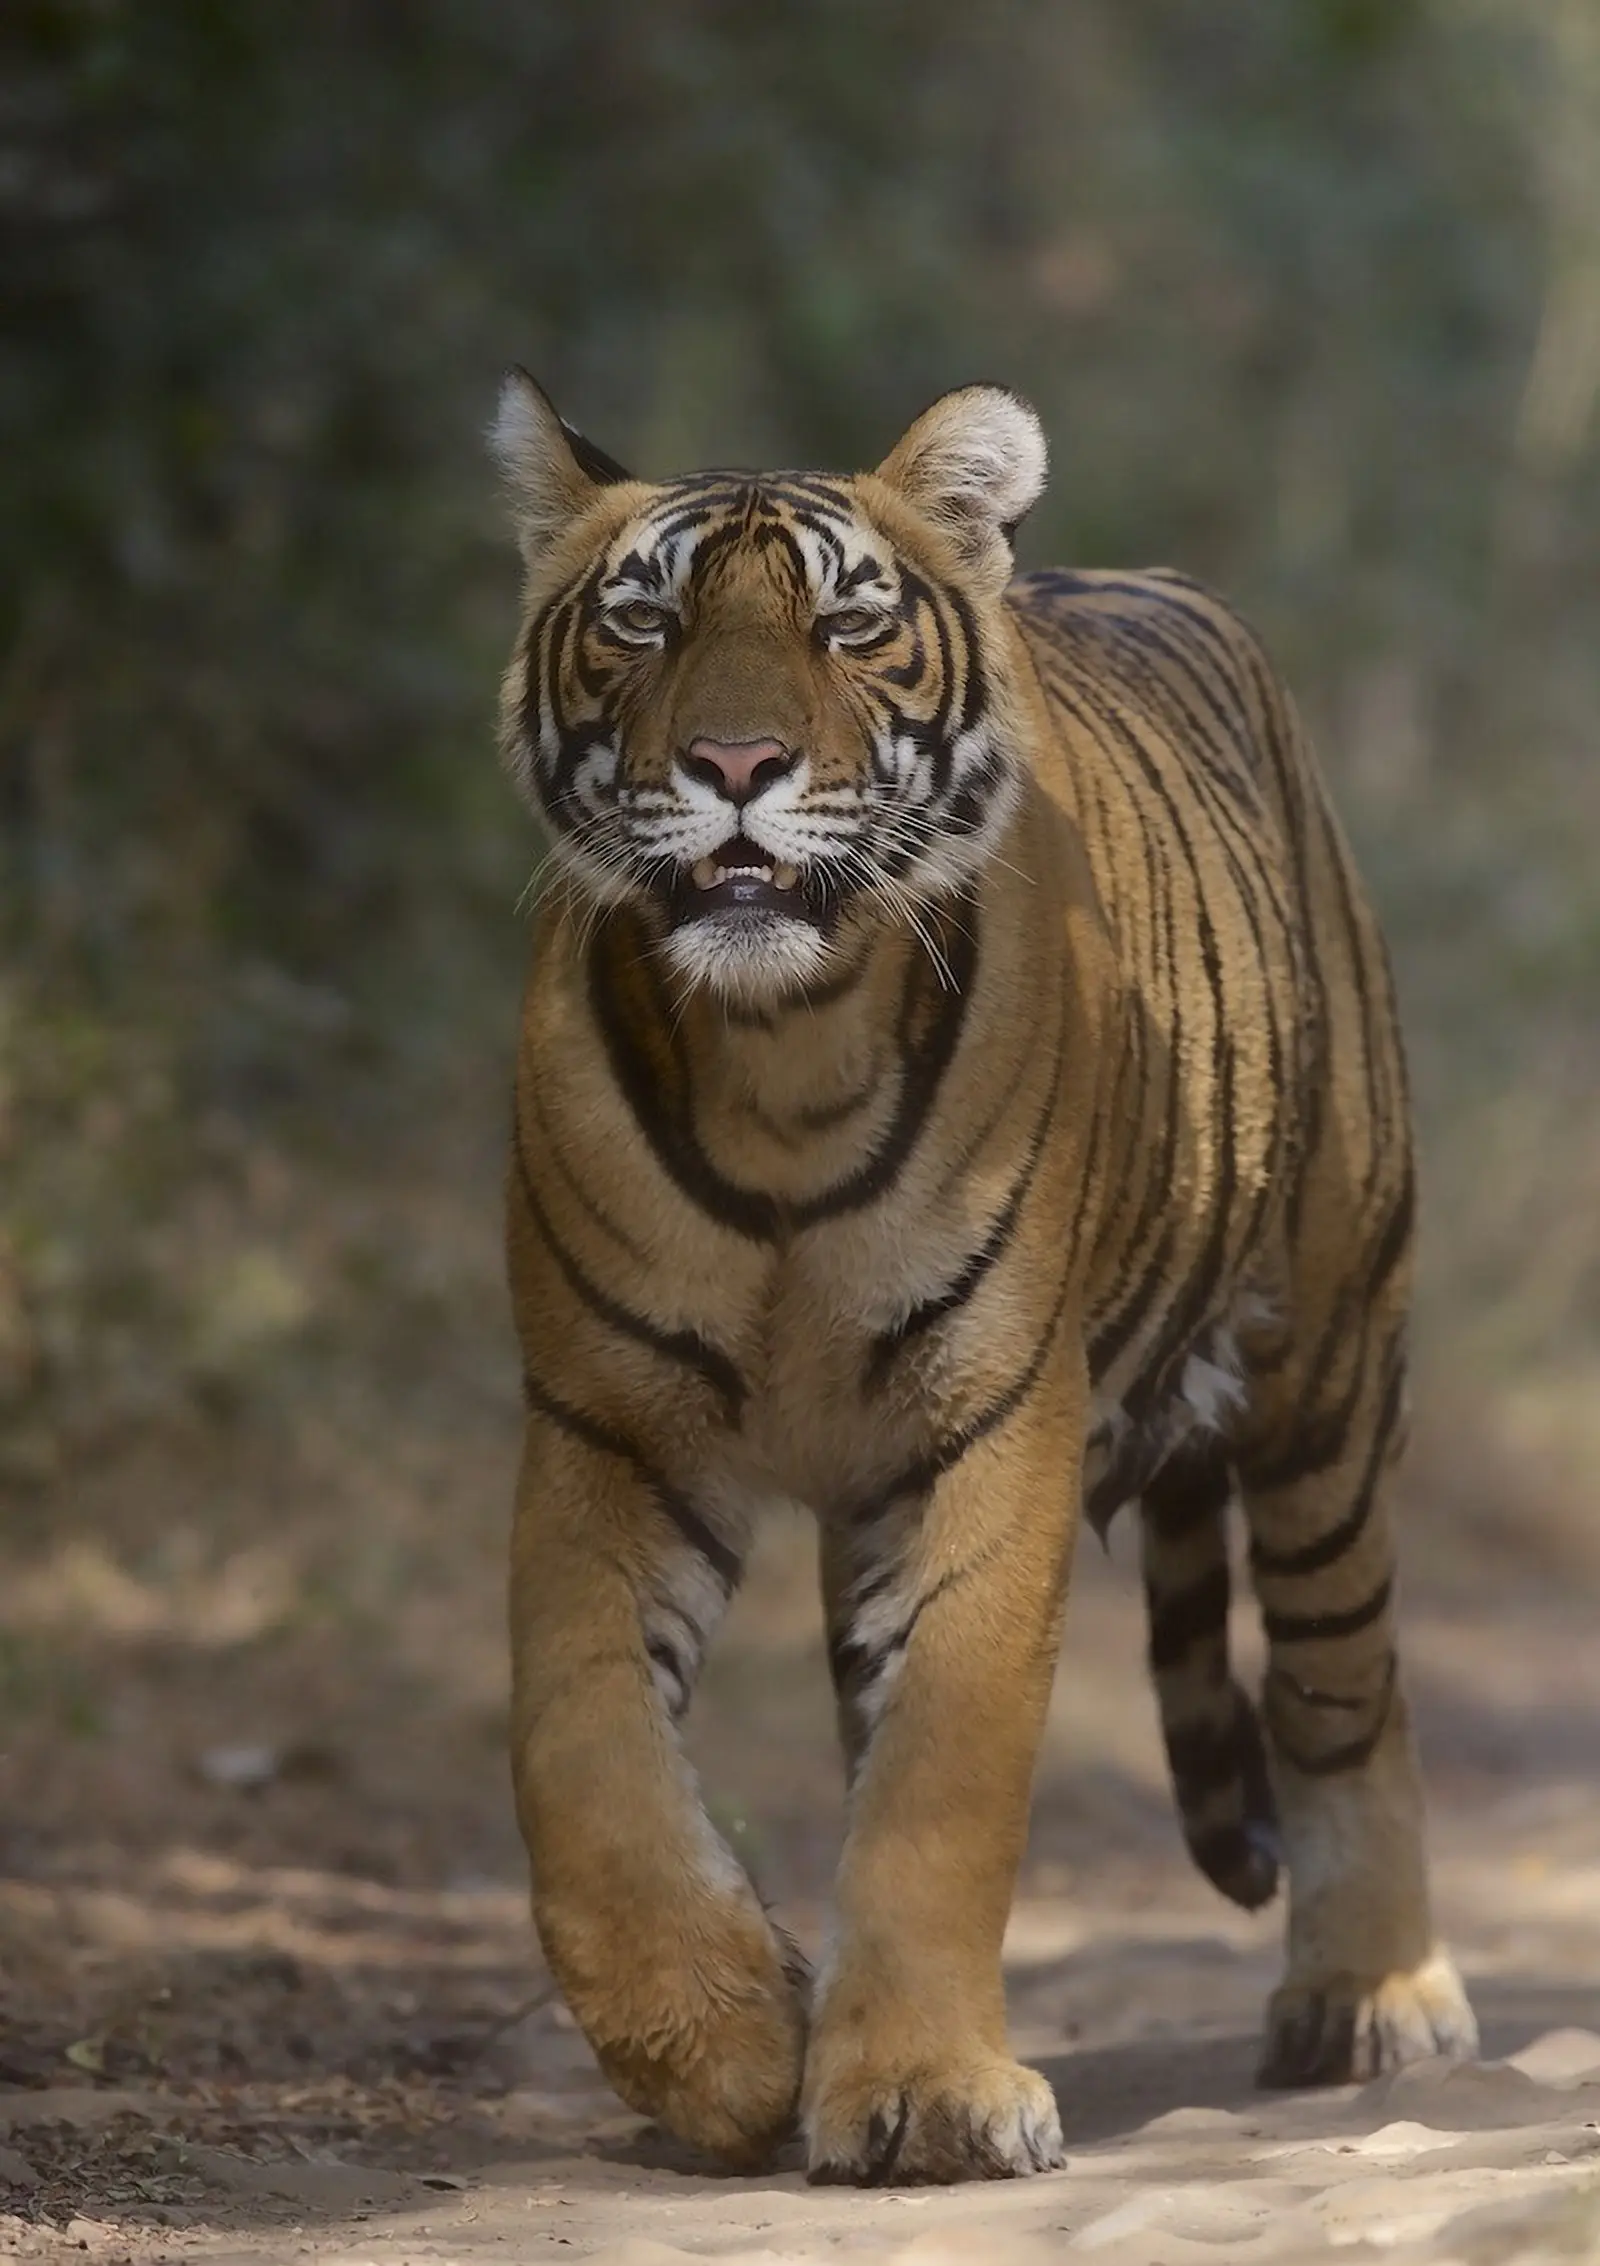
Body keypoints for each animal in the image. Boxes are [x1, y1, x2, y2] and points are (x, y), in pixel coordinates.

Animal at [490, 373, 1478, 2186]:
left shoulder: (995, 1415)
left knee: (1342, 1682)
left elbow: (944, 1773)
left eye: (846, 618)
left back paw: (1372, 1997)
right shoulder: (610, 1423)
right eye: (643, 619)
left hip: (1329, 1366)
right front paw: (725, 2045)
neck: (781, 1052)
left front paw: (926, 2096)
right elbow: (581, 1752)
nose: (735, 763)